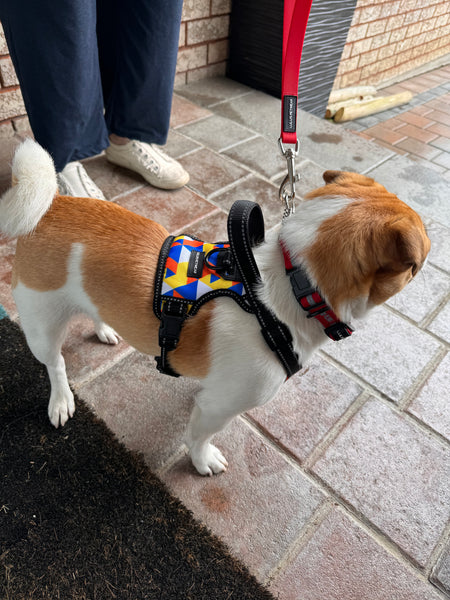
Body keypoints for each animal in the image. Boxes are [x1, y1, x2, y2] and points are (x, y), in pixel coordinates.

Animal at [0, 139, 428, 474]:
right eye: (418, 265)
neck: (288, 286)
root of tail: (52, 205)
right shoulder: (220, 406)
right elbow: (200, 434)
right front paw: (202, 460)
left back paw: (106, 327)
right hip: (40, 325)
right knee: (55, 363)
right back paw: (61, 399)